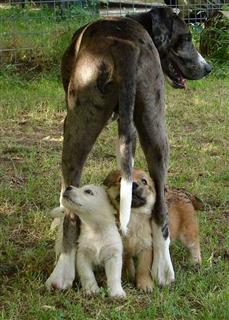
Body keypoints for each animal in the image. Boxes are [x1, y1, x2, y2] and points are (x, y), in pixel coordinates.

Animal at [46, 6, 211, 288]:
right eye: (186, 37)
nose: (208, 68)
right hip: (155, 129)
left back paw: (63, 271)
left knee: (70, 208)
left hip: (77, 126)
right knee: (160, 208)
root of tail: (124, 43)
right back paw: (162, 268)